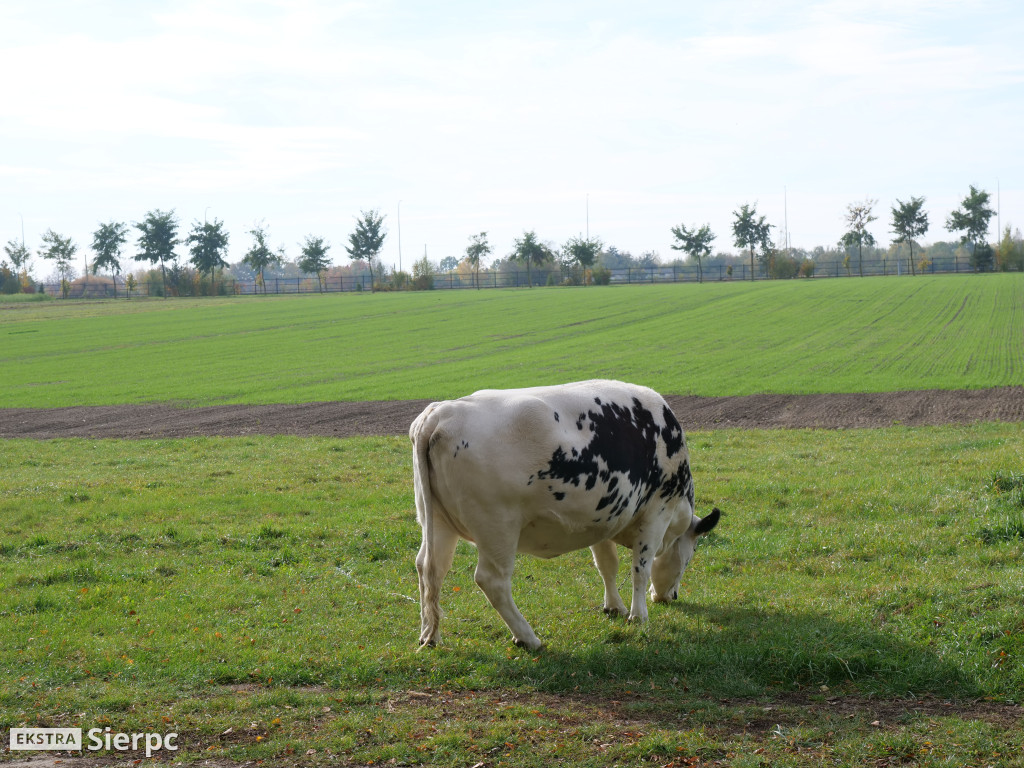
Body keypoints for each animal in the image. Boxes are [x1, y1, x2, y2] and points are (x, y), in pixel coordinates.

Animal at [407, 378, 720, 651]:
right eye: (690, 556)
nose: (670, 596)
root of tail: (441, 412)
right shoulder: (656, 512)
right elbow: (640, 569)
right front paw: (638, 615)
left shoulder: (603, 517)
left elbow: (607, 565)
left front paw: (614, 607)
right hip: (497, 528)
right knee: (491, 581)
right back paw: (528, 638)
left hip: (436, 521)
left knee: (430, 569)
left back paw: (430, 636)